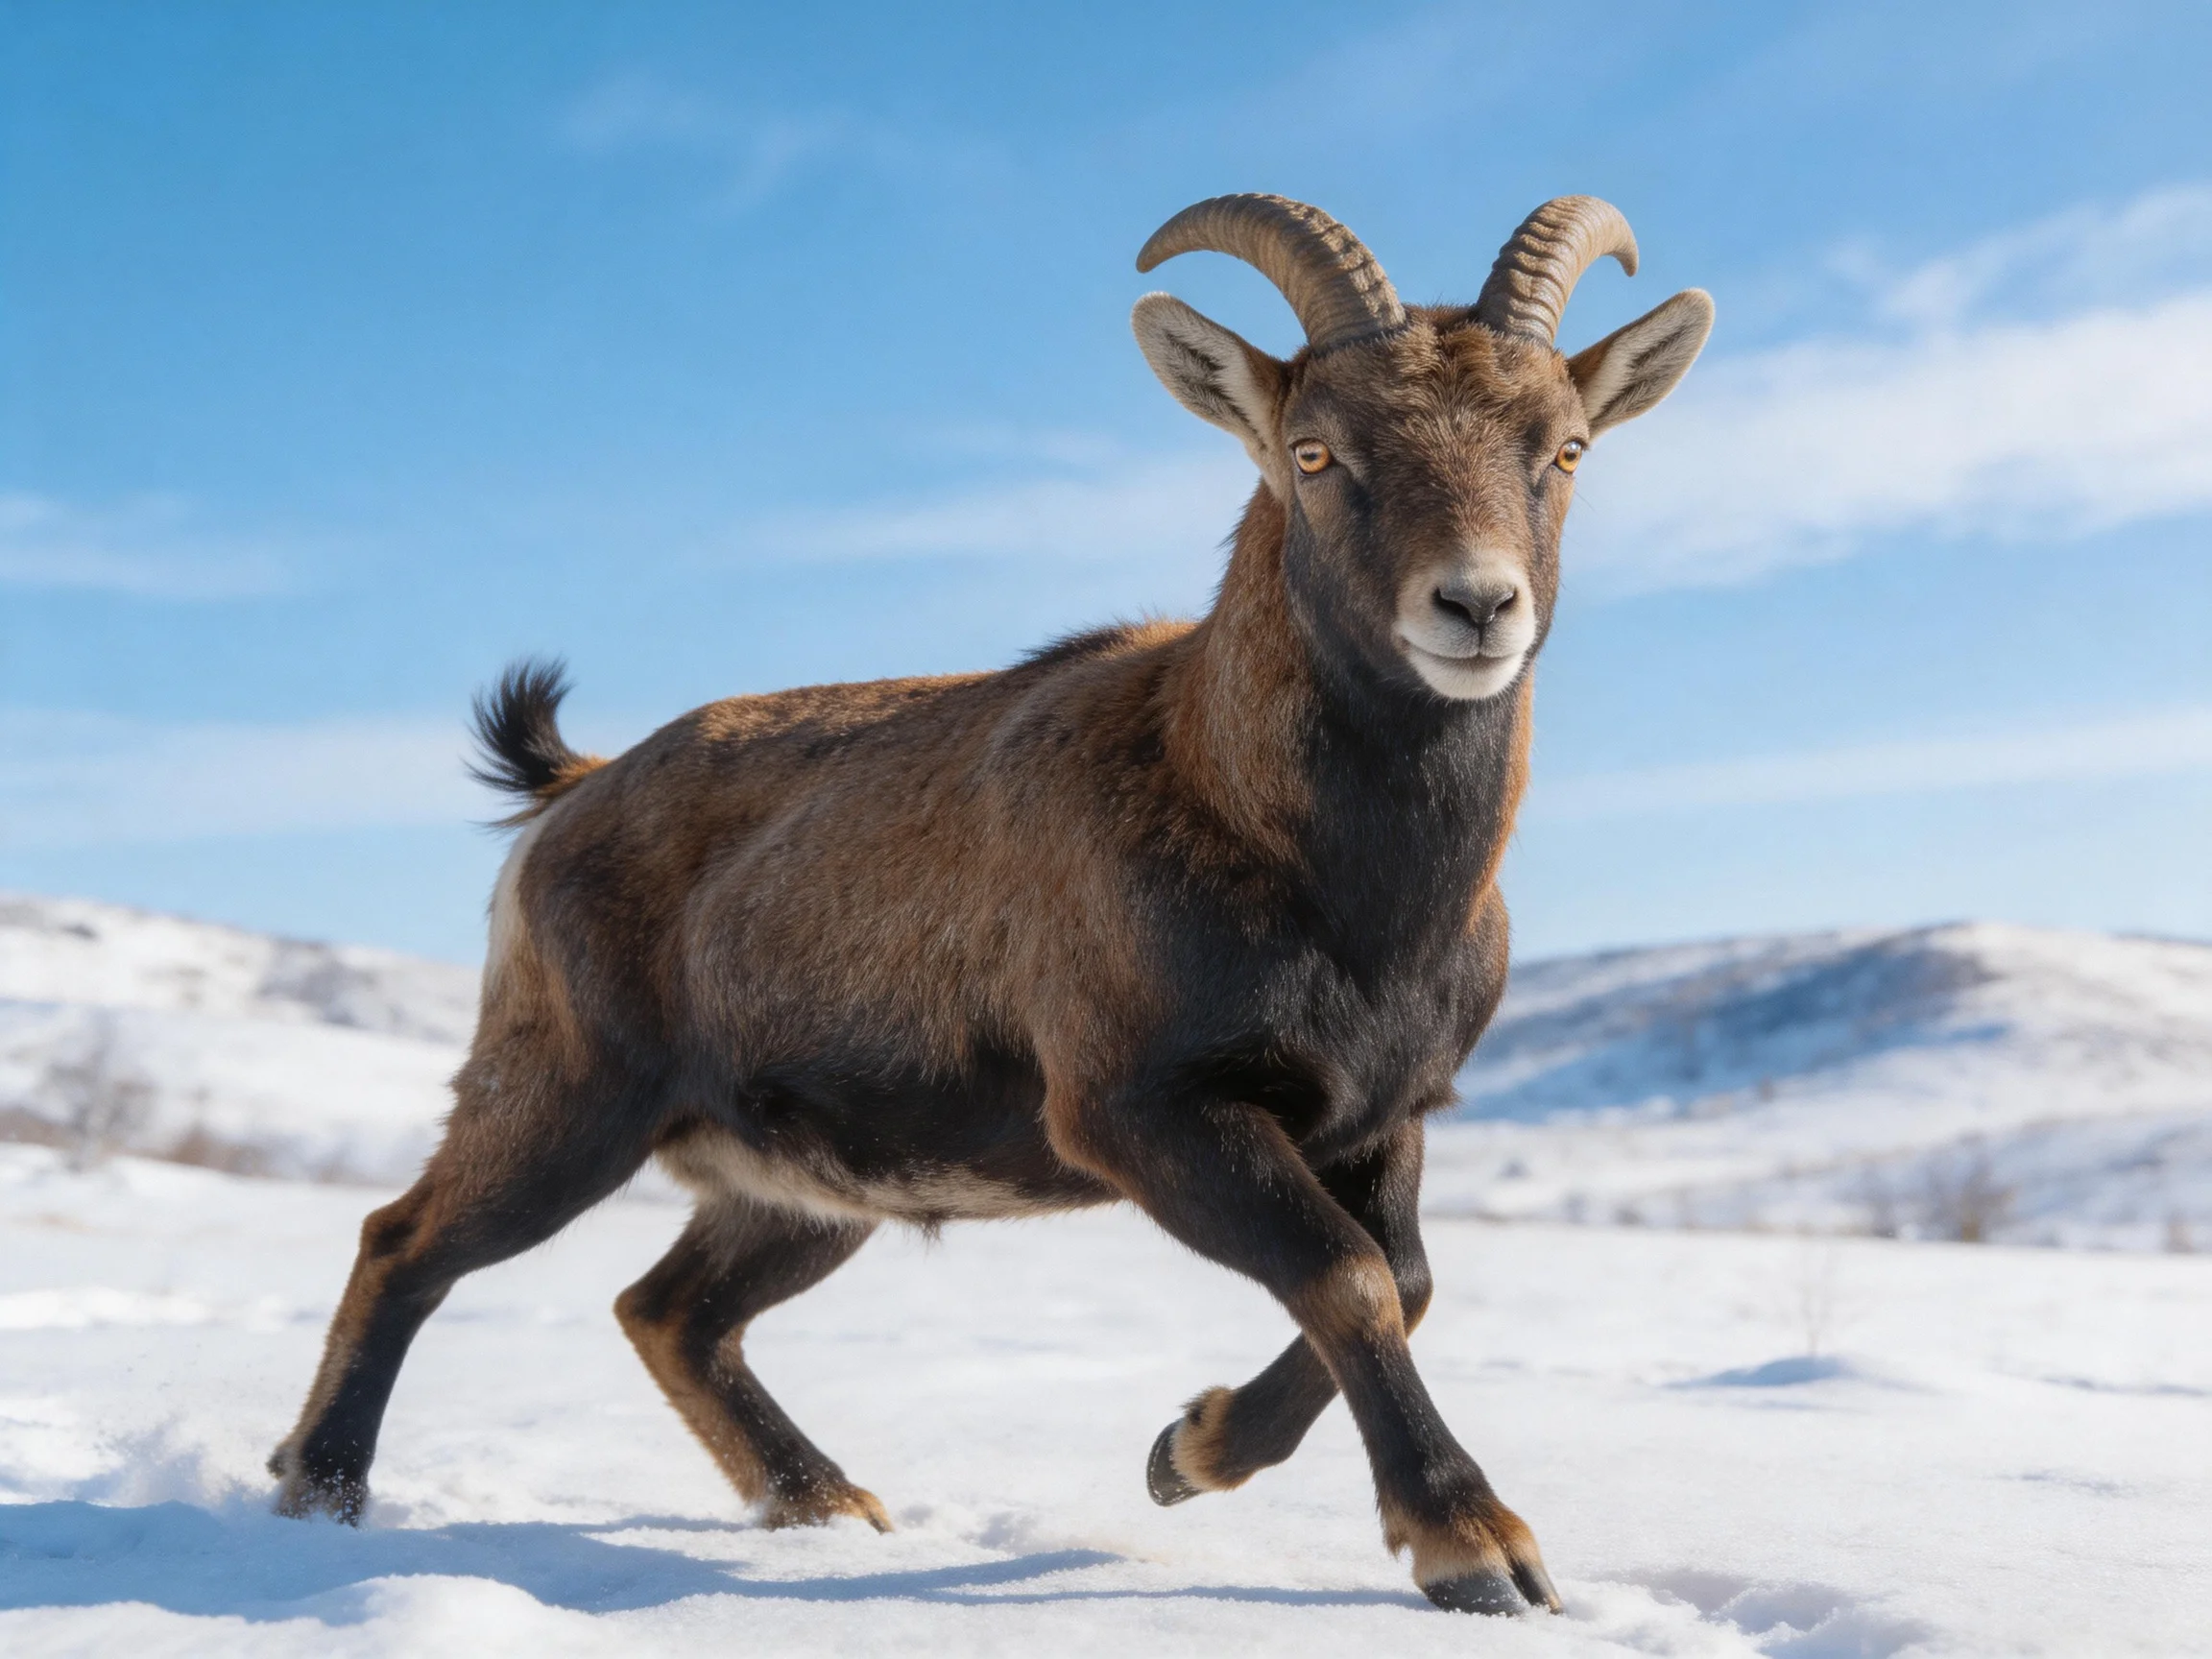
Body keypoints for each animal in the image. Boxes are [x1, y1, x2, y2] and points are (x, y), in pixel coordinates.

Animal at [270, 193, 1712, 1616]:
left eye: (1565, 446)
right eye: (1314, 450)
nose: (1474, 605)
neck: (1332, 882)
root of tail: (568, 798)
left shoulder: (1382, 1115)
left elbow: (1403, 1278)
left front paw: (1187, 1452)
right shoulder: (1142, 1111)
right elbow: (1347, 1277)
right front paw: (1475, 1548)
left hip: (799, 1192)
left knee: (668, 1308)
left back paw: (824, 1503)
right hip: (567, 1101)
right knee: (406, 1243)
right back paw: (319, 1492)